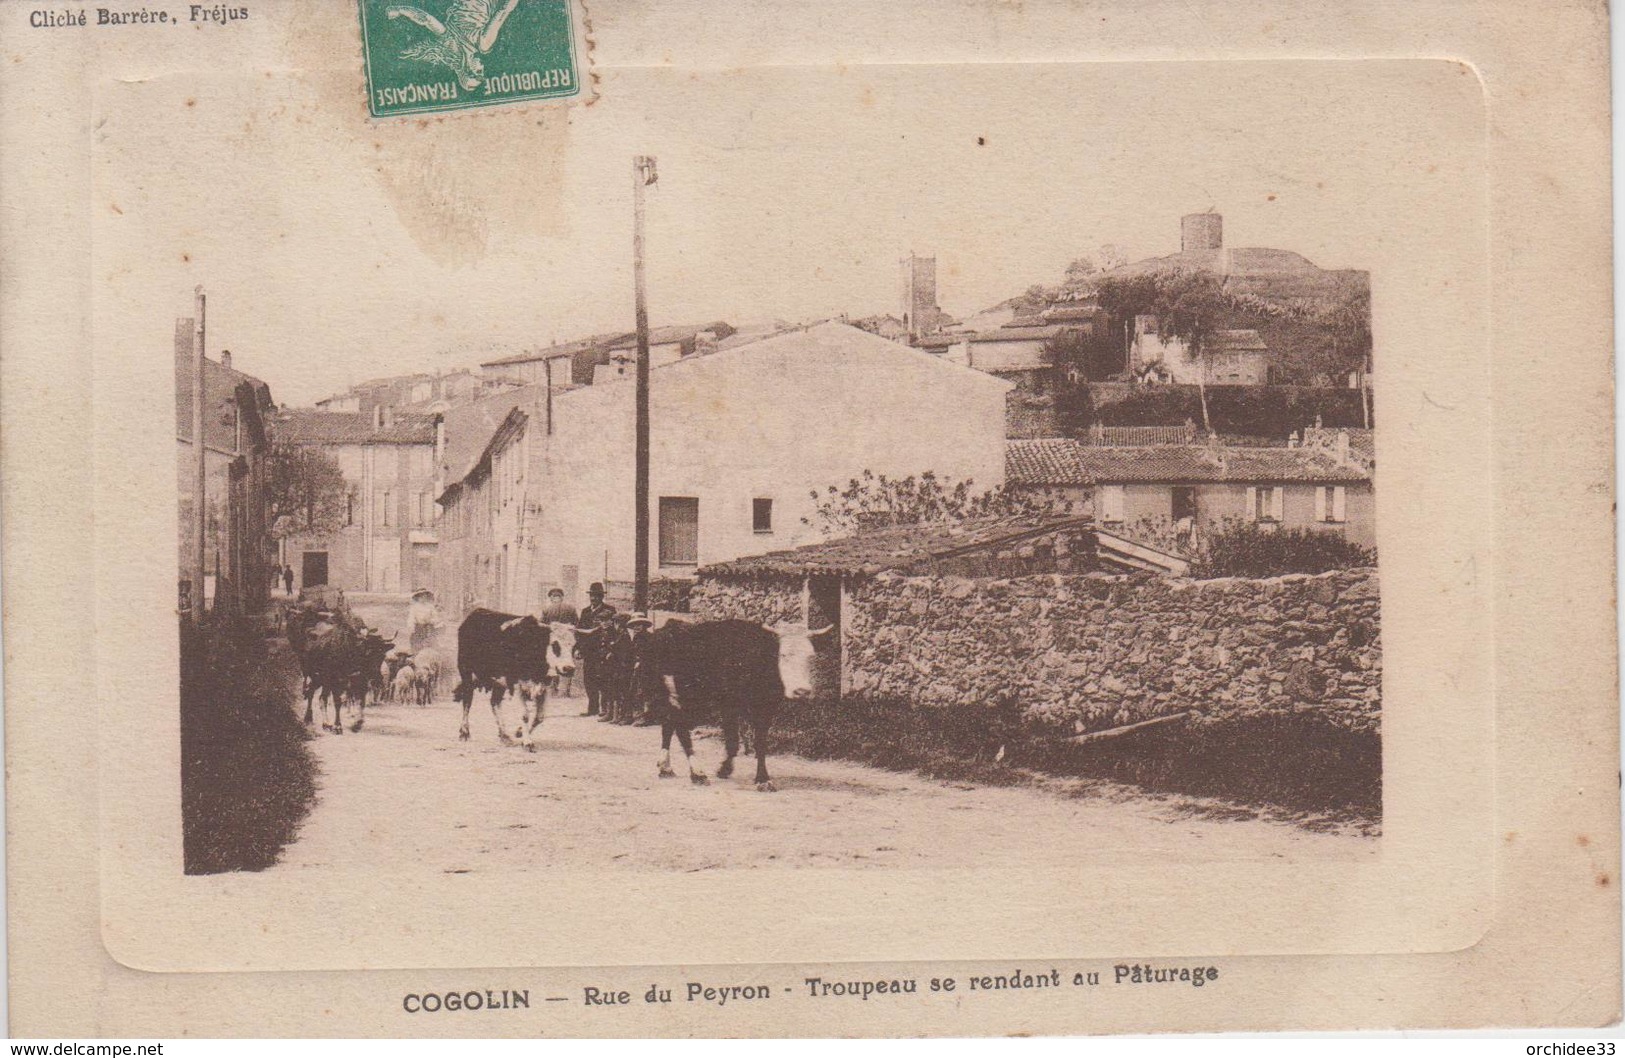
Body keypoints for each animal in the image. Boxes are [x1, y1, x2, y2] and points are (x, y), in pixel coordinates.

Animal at [451, 607, 585, 747]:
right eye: (554, 644)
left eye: (574, 646)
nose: (569, 668)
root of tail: (477, 612)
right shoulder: (515, 684)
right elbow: (524, 714)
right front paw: (527, 742)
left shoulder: (543, 686)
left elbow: (539, 717)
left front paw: (520, 733)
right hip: (466, 672)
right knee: (467, 700)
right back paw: (464, 732)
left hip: (499, 682)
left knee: (494, 703)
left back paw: (504, 735)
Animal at [633, 617, 832, 789]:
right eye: (783, 655)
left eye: (811, 656)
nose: (802, 691)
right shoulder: (729, 704)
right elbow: (732, 740)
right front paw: (726, 769)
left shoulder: (766, 708)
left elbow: (760, 743)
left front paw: (762, 779)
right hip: (675, 695)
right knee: (680, 729)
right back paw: (697, 774)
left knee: (668, 725)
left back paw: (665, 767)